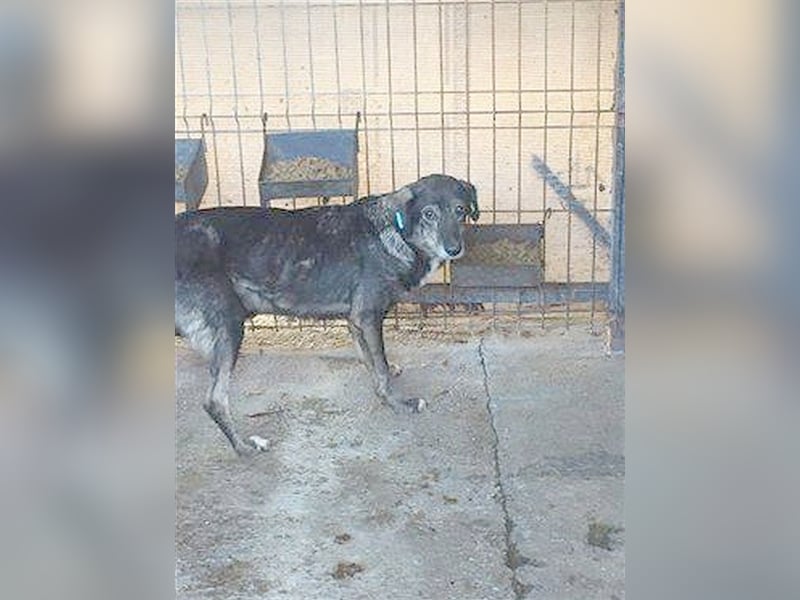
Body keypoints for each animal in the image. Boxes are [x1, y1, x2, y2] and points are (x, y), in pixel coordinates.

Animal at [175, 174, 479, 456]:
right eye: (429, 214)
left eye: (460, 209)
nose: (454, 249)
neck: (395, 230)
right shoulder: (368, 316)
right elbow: (380, 367)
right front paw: (397, 402)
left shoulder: (355, 321)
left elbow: (370, 359)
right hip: (229, 326)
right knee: (214, 401)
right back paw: (245, 448)